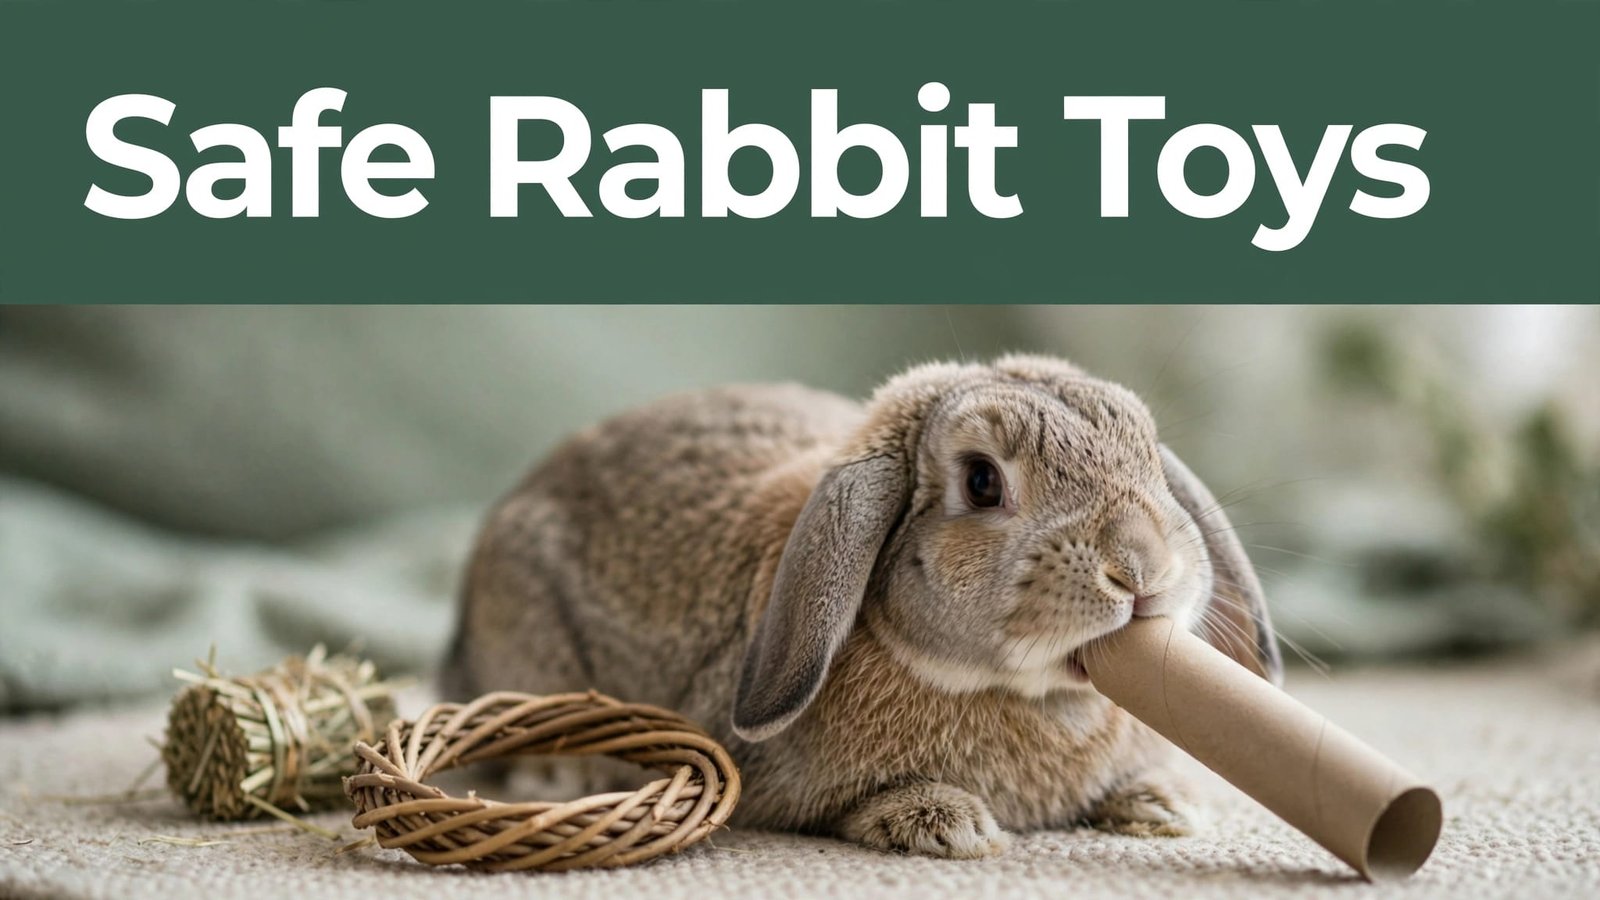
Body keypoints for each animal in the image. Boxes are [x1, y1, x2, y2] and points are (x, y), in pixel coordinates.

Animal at [443, 354, 1281, 858]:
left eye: (1147, 454)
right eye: (982, 482)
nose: (1142, 570)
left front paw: (1165, 808)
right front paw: (949, 826)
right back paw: (557, 778)